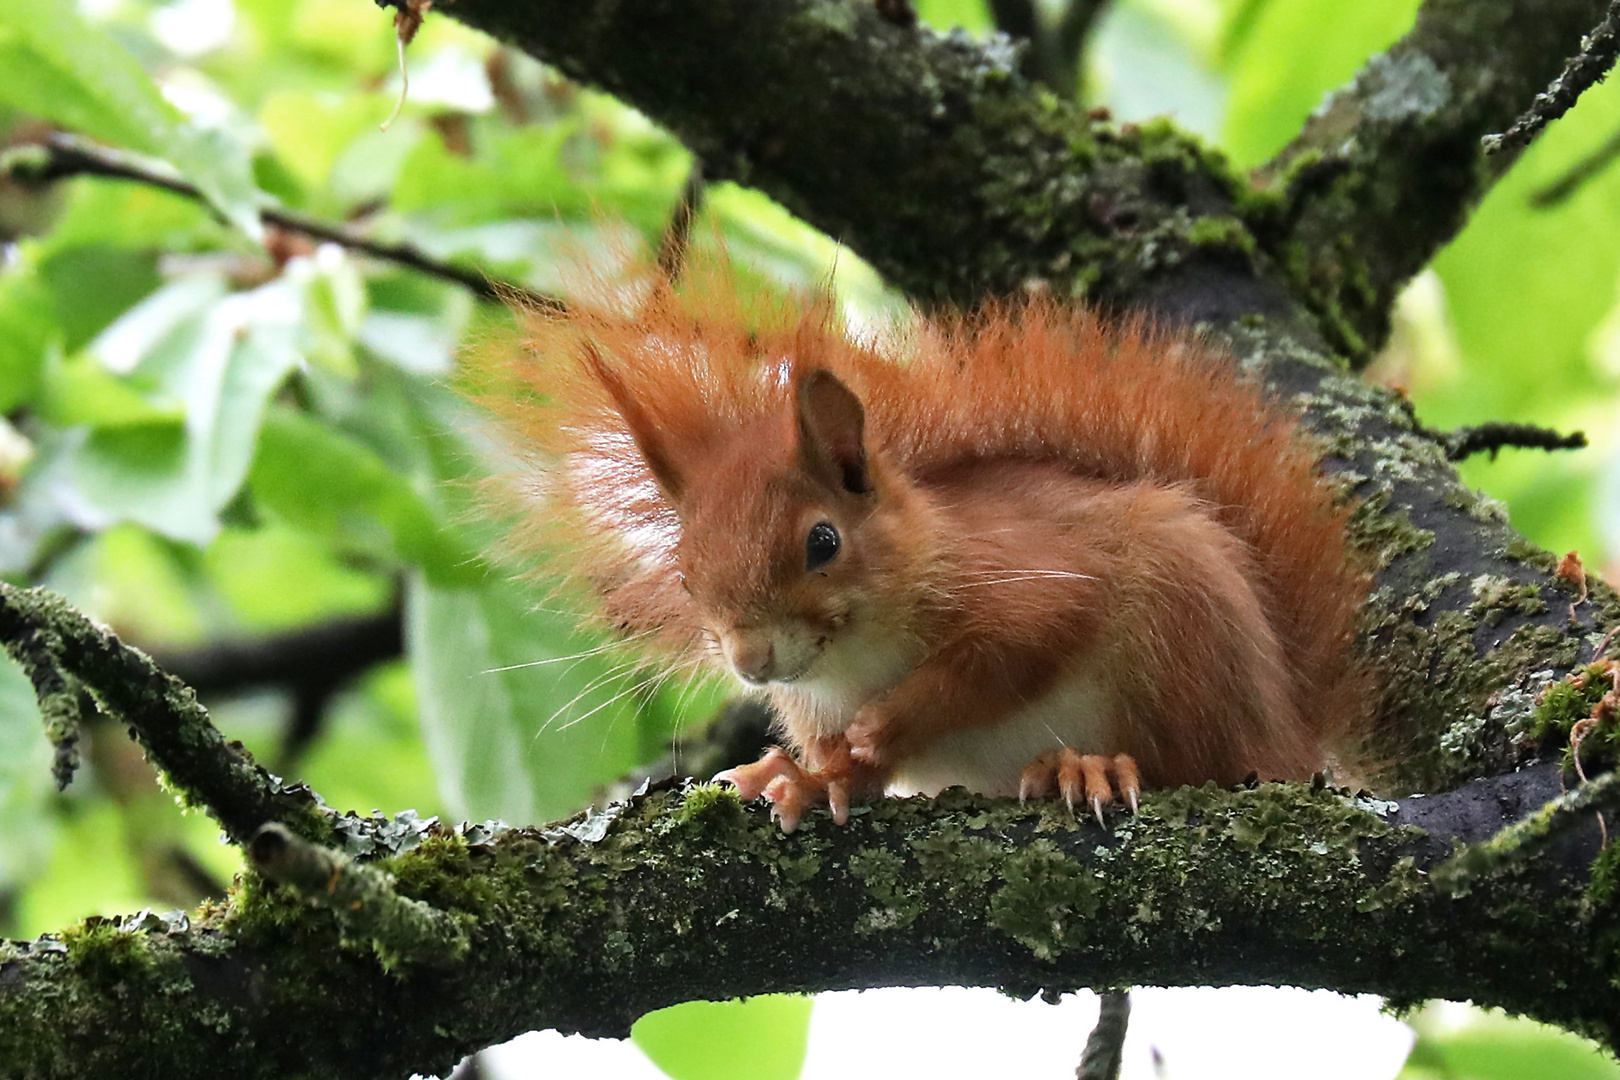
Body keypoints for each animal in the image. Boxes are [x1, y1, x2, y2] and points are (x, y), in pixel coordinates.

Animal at [486, 257, 1373, 835]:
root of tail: (1294, 729)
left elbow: (1009, 653)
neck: (858, 658)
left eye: (823, 540)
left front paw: (892, 722)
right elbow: (854, 771)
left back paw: (1087, 766)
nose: (751, 661)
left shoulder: (1032, 574)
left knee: (1200, 762)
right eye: (682, 572)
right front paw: (808, 778)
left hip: (1185, 638)